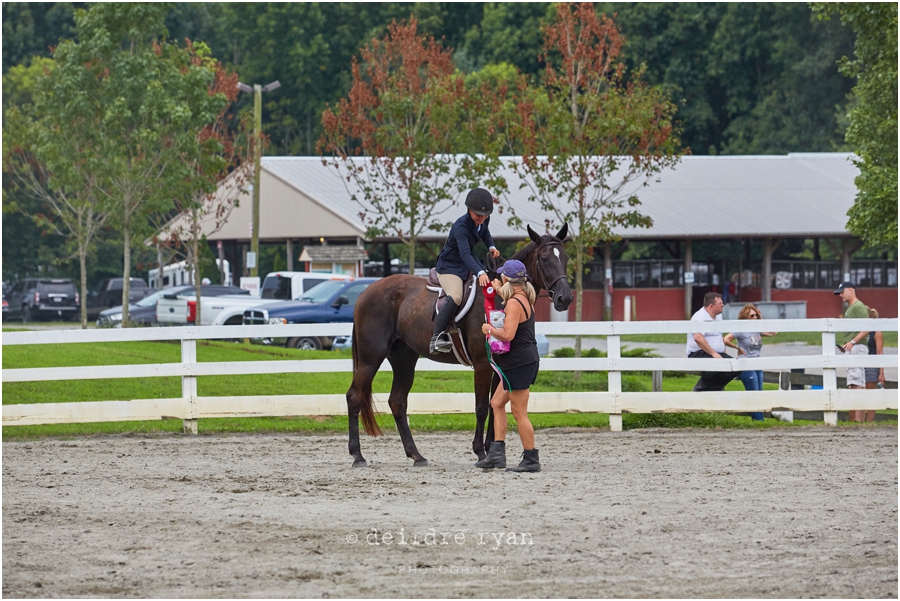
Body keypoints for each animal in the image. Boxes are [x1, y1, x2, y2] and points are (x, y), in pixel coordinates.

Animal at [348, 223, 572, 466]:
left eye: (566, 258)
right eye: (544, 259)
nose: (565, 299)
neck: (502, 295)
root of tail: (365, 292)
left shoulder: (500, 367)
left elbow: (495, 406)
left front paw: (492, 450)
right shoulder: (483, 365)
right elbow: (482, 407)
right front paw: (480, 452)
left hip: (404, 360)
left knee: (397, 402)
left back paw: (416, 455)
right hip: (371, 358)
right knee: (354, 397)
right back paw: (357, 455)